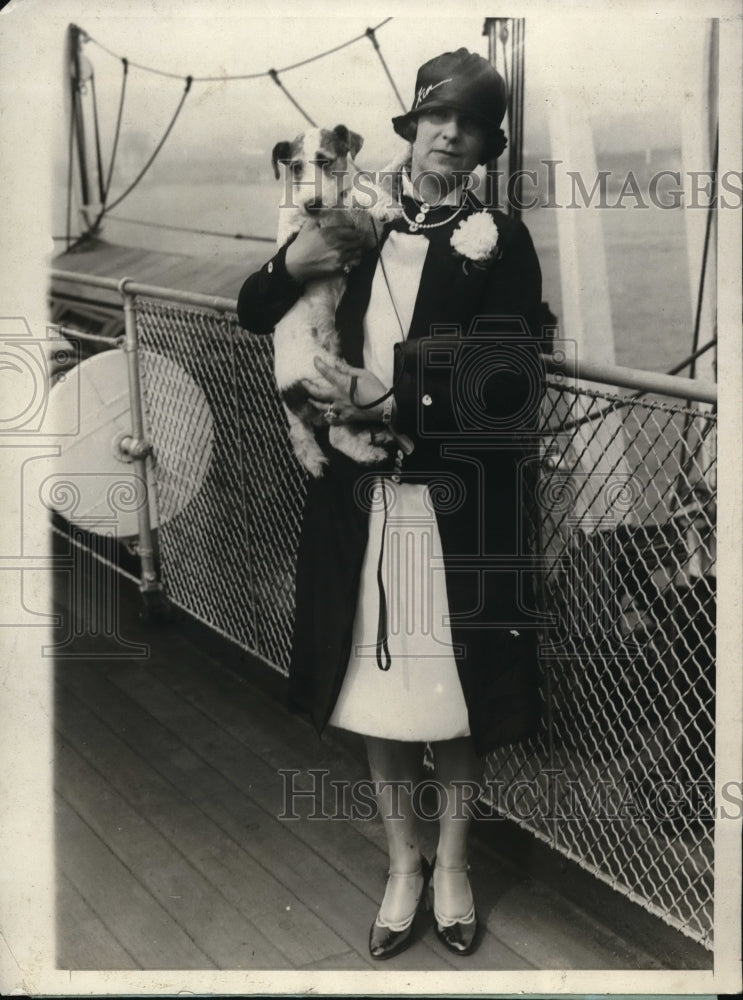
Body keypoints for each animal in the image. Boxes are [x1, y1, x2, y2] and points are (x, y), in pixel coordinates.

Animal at [270, 124, 404, 476]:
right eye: (295, 167)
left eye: (325, 160)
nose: (312, 203)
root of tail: (287, 394)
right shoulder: (329, 224)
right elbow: (354, 195)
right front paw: (383, 204)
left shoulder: (365, 236)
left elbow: (378, 175)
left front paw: (405, 153)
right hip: (329, 376)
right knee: (335, 434)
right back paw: (370, 451)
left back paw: (375, 437)